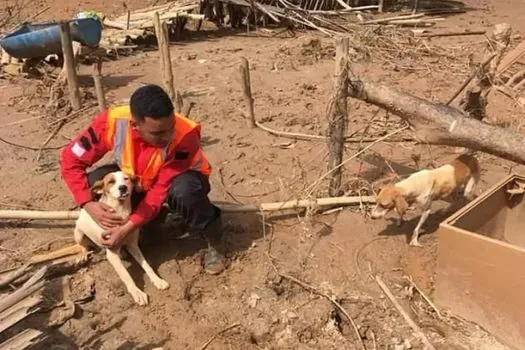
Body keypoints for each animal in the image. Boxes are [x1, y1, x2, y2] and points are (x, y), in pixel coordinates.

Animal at [30, 171, 169, 304]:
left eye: (126, 179)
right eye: (111, 182)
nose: (123, 188)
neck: (121, 211)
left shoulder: (133, 245)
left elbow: (146, 265)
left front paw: (157, 280)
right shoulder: (112, 254)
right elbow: (126, 275)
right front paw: (137, 293)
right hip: (79, 231)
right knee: (83, 246)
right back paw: (83, 254)